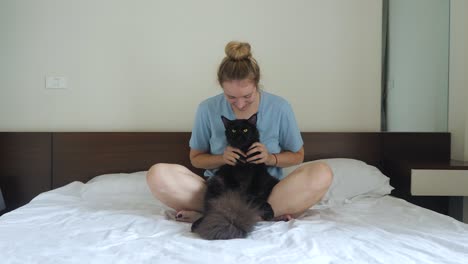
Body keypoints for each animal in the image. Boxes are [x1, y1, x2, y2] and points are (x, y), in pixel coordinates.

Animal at [190, 112, 278, 240]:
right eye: (233, 130)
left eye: (245, 130)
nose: (239, 136)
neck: (244, 156)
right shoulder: (232, 176)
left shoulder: (258, 175)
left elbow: (255, 195)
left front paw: (268, 211)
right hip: (216, 183)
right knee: (209, 211)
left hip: (271, 181)